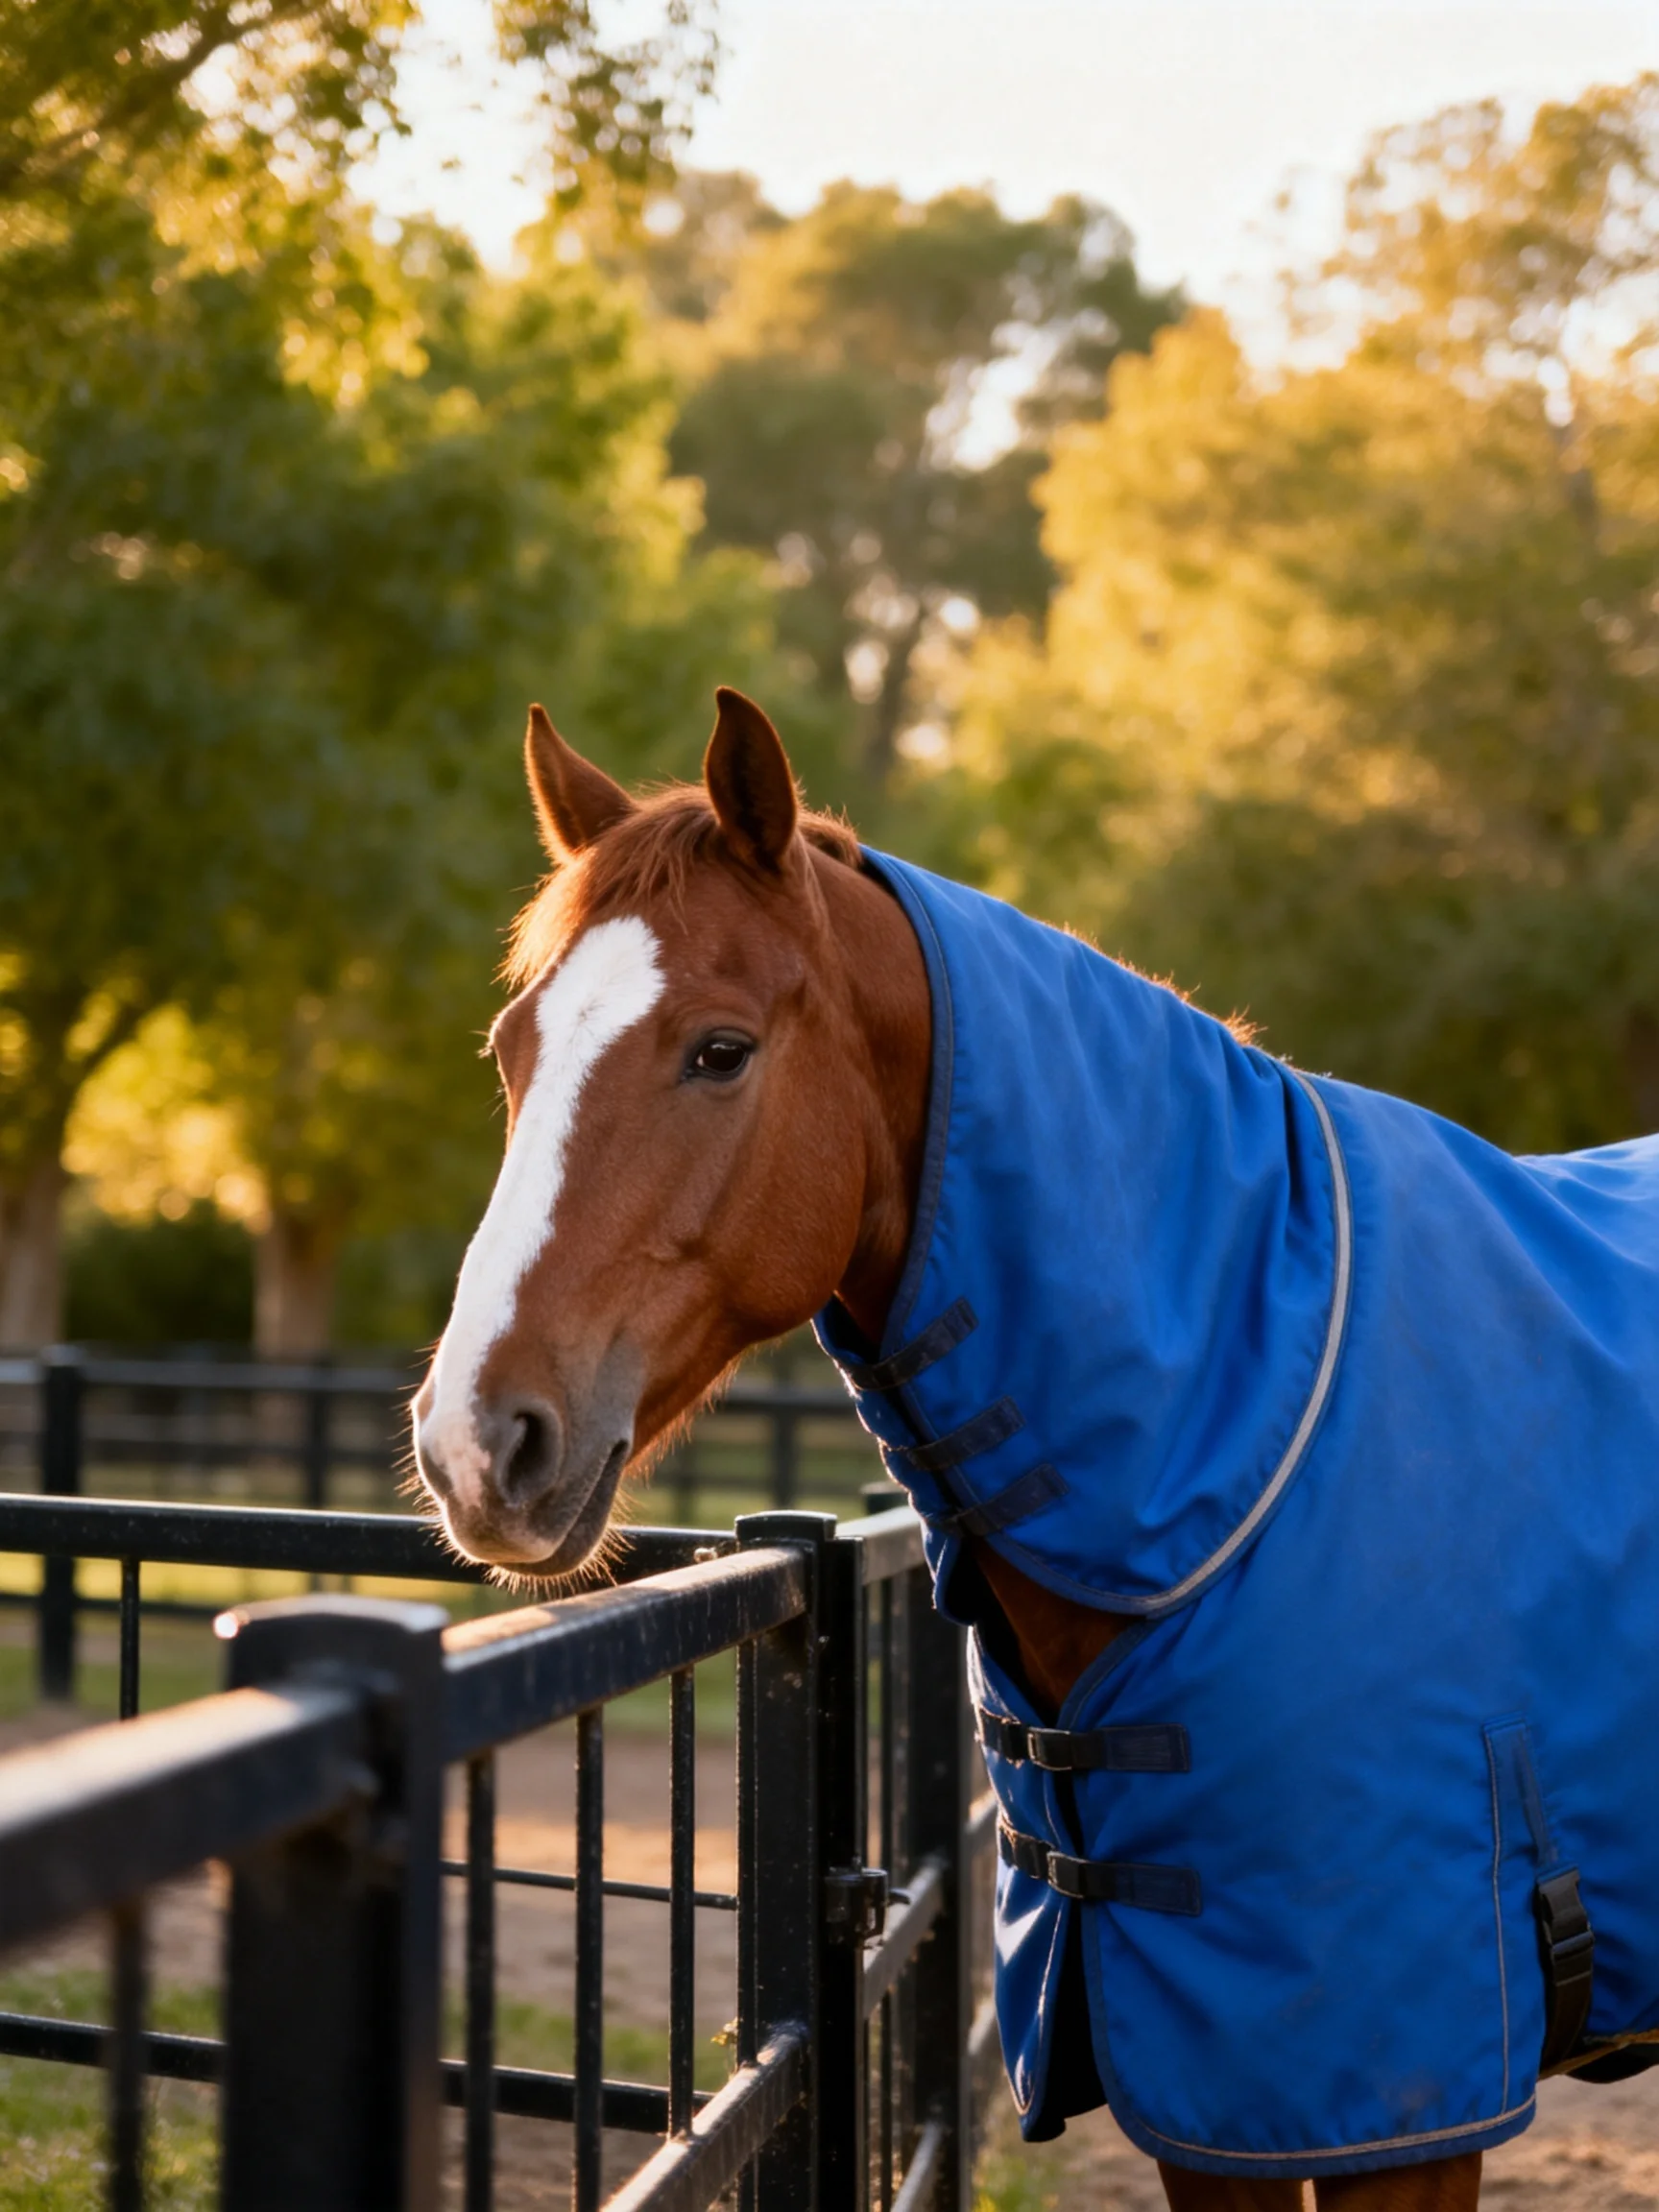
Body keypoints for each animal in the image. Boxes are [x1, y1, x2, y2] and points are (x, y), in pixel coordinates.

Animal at [414, 687, 1659, 2211]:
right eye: (512, 1051)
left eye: (719, 1050)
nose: (478, 1441)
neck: (1248, 1434)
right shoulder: (1201, 2085)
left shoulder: (1396, 2096)